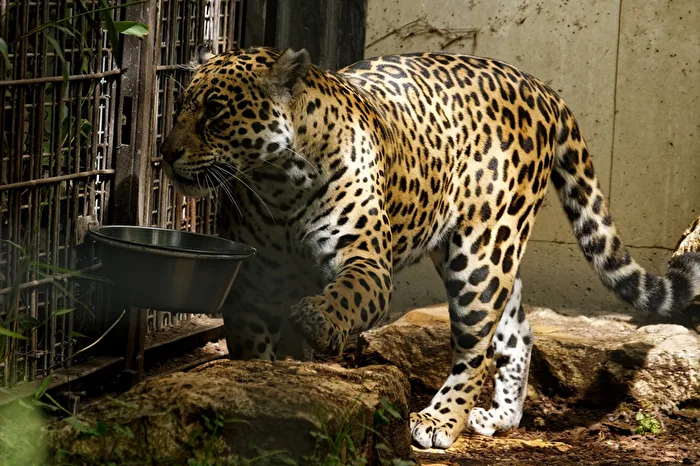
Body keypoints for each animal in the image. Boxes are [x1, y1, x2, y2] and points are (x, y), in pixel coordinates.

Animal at [159, 45, 700, 449]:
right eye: (182, 104)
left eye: (214, 113)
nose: (165, 154)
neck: (279, 184)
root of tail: (542, 87)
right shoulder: (253, 279)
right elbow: (250, 345)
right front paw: (257, 387)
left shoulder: (366, 263)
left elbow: (346, 293)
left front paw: (317, 321)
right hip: (485, 252)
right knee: (516, 332)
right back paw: (499, 418)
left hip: (480, 257)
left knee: (476, 346)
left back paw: (442, 420)